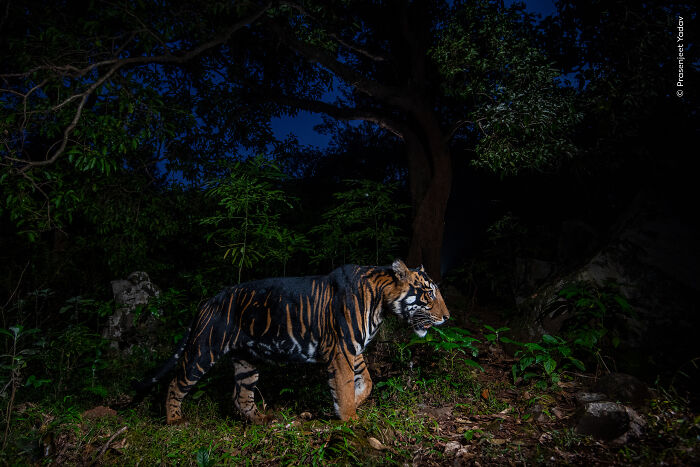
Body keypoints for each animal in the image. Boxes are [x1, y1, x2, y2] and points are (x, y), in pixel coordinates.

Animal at [134, 259, 450, 424]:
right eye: (429, 294)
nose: (447, 317)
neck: (381, 304)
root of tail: (208, 300)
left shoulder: (352, 349)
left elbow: (367, 381)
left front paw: (355, 402)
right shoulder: (342, 350)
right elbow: (345, 386)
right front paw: (349, 418)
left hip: (246, 361)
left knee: (241, 396)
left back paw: (262, 420)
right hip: (203, 350)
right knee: (176, 383)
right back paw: (174, 420)